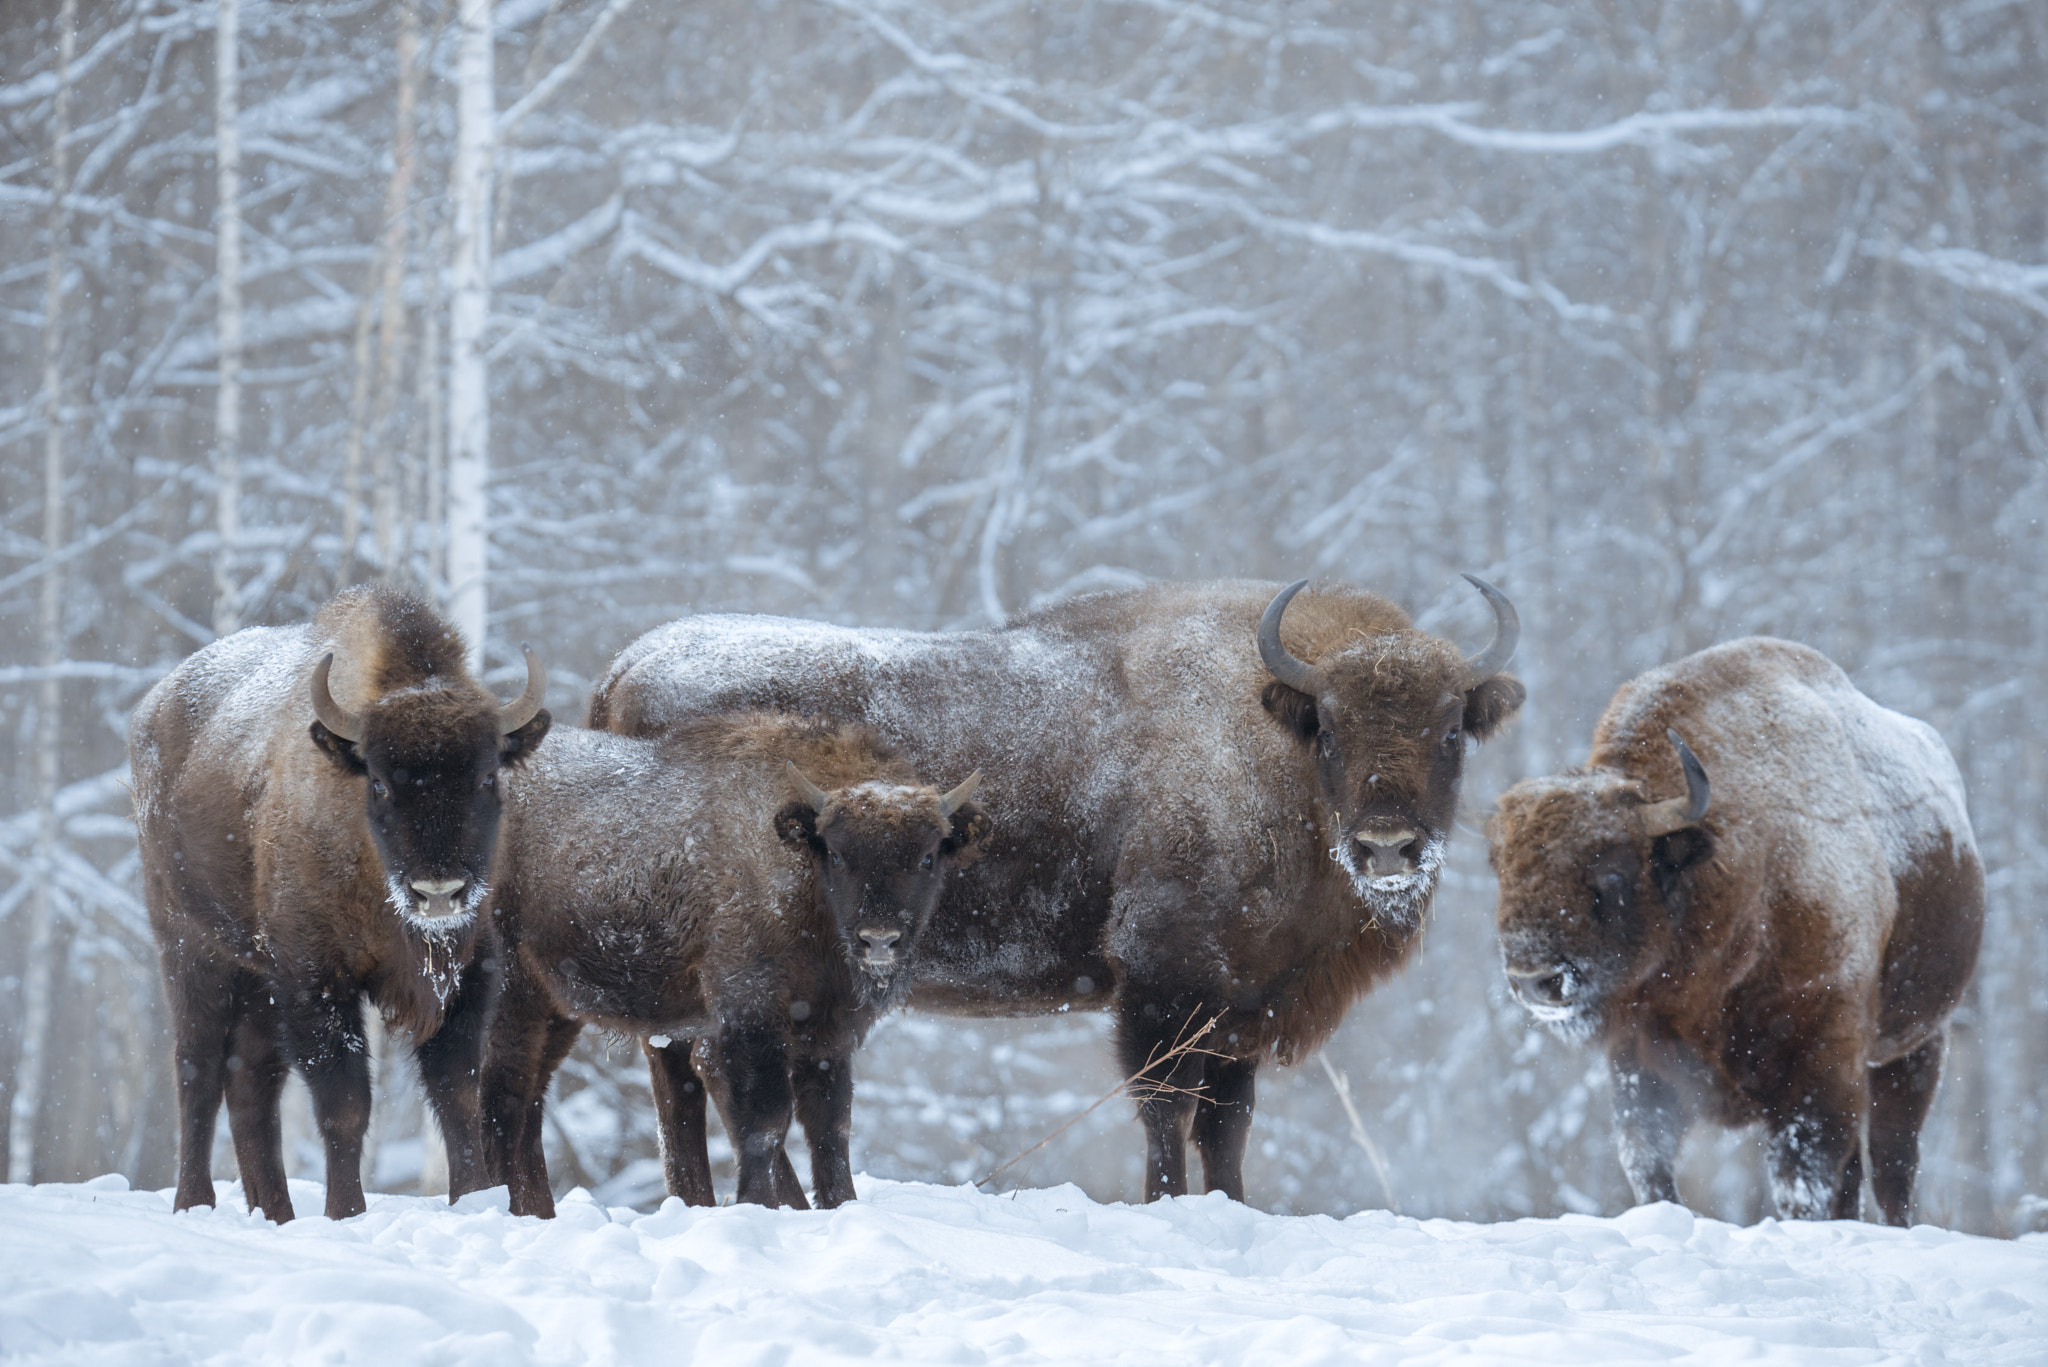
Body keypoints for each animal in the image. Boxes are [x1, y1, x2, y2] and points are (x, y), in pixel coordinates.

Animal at [481, 717, 991, 1221]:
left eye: (927, 856)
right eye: (838, 853)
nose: (879, 939)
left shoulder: (829, 1033)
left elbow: (831, 1126)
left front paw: (840, 1205)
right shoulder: (751, 1014)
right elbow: (765, 1120)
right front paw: (756, 1203)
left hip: (556, 1007)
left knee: (530, 1098)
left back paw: (535, 1211)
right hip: (511, 993)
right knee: (502, 1094)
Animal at [593, 573, 1523, 1196]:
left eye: (1450, 729)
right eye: (1328, 728)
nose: (1388, 845)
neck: (1263, 737)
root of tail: (626, 667)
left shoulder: (1242, 1006)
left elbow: (1227, 1125)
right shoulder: (1164, 980)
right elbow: (1167, 1109)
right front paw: (1167, 1204)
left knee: (680, 1077)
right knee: (715, 1076)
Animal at [1490, 643, 1982, 1229]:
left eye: (1611, 870)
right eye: (1501, 866)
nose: (1533, 979)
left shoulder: (1822, 1063)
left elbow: (1802, 1179)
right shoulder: (1639, 1060)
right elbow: (1647, 1164)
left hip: (1918, 1044)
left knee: (1893, 1165)